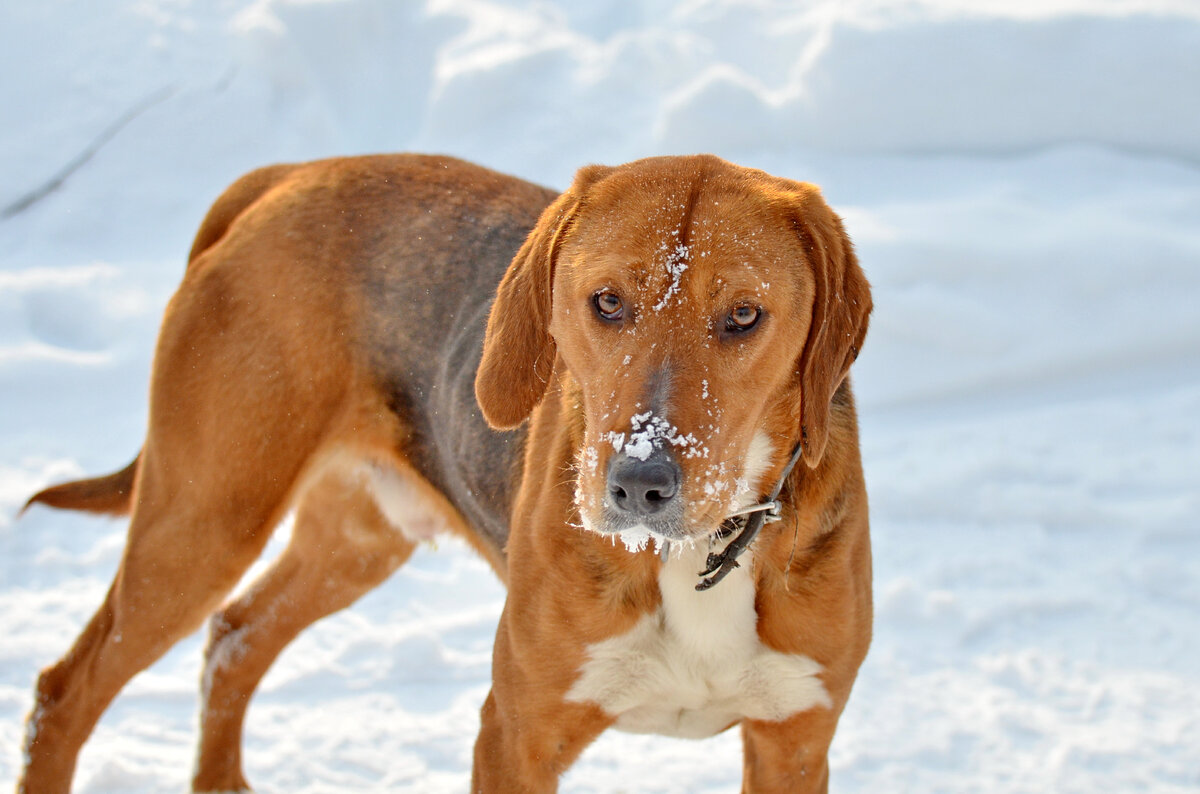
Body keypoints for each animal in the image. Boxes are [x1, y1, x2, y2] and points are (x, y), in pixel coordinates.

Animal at [21, 152, 873, 791]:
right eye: (605, 302)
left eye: (744, 316)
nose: (638, 484)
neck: (694, 556)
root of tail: (288, 176)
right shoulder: (515, 733)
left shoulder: (795, 742)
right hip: (203, 522)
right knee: (63, 693)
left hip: (356, 542)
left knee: (234, 637)